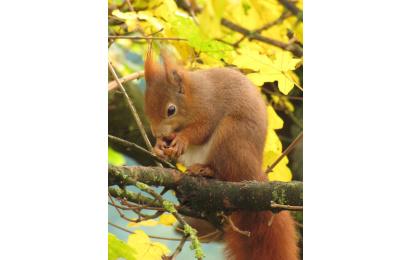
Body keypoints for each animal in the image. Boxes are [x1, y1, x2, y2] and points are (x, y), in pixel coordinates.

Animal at [143, 47, 298, 258]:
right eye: (145, 110)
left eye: (171, 110)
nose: (158, 134)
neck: (194, 95)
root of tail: (253, 171)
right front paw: (158, 146)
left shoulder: (209, 109)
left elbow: (201, 131)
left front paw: (182, 139)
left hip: (231, 136)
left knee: (225, 171)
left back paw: (206, 170)